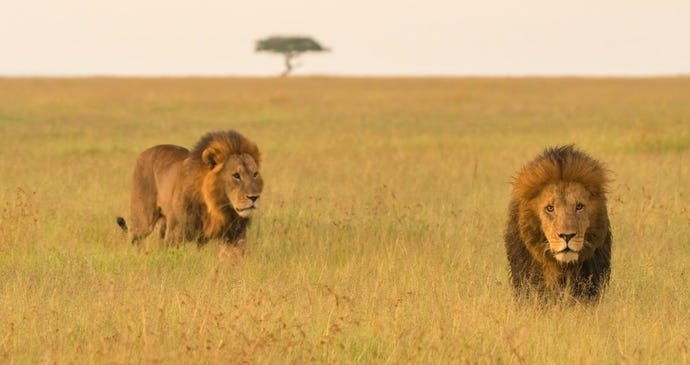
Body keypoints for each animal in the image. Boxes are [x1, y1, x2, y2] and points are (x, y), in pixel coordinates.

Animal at [117, 129, 262, 246]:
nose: (254, 197)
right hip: (143, 219)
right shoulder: (176, 233)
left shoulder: (235, 236)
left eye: (255, 174)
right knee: (135, 237)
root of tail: (144, 153)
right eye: (236, 175)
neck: (216, 205)